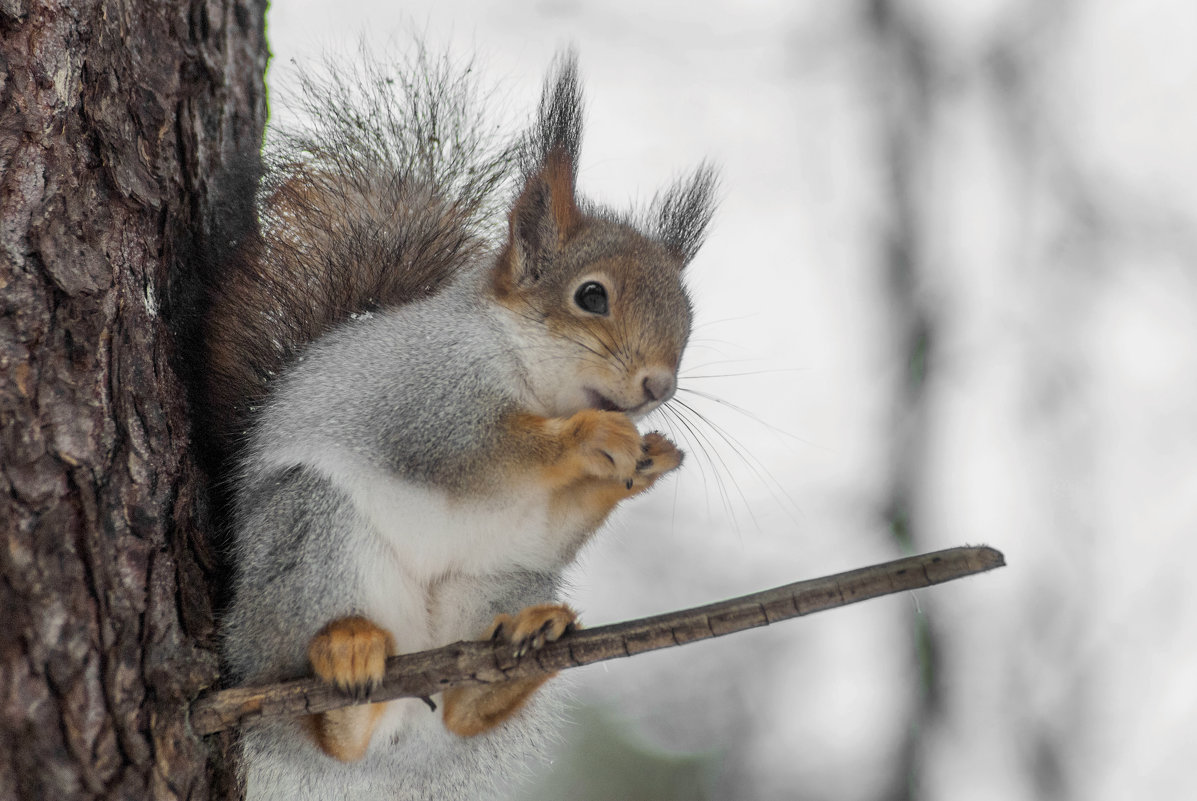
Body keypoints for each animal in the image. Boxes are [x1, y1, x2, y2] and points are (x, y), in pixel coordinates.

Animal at [203, 49, 718, 799]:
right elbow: (478, 450)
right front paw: (592, 439)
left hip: (502, 579)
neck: (533, 377)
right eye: (591, 295)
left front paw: (646, 461)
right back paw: (344, 656)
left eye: (687, 316)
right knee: (318, 712)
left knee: (459, 710)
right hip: (305, 546)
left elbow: (554, 522)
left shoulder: (533, 522)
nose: (659, 385)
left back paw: (517, 654)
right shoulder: (430, 396)